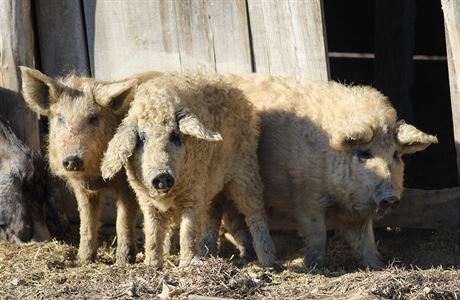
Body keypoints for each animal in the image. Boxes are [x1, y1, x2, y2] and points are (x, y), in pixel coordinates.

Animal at [19, 67, 160, 264]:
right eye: (60, 118)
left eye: (93, 117)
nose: (72, 159)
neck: (96, 177)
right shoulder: (82, 188)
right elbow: (86, 220)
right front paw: (82, 261)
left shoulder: (128, 185)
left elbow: (123, 220)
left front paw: (122, 262)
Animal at [102, 74, 274, 268]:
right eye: (142, 138)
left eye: (174, 136)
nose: (162, 175)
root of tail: (239, 94)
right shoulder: (146, 201)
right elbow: (153, 232)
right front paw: (152, 265)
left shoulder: (193, 194)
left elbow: (188, 232)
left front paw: (185, 265)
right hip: (212, 186)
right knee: (212, 217)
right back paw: (209, 255)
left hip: (245, 171)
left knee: (255, 213)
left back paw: (268, 262)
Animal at [230, 74, 438, 270]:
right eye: (364, 154)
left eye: (395, 154)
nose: (391, 197)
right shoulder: (306, 198)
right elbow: (318, 234)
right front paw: (315, 266)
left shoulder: (357, 213)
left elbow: (366, 240)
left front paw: (378, 266)